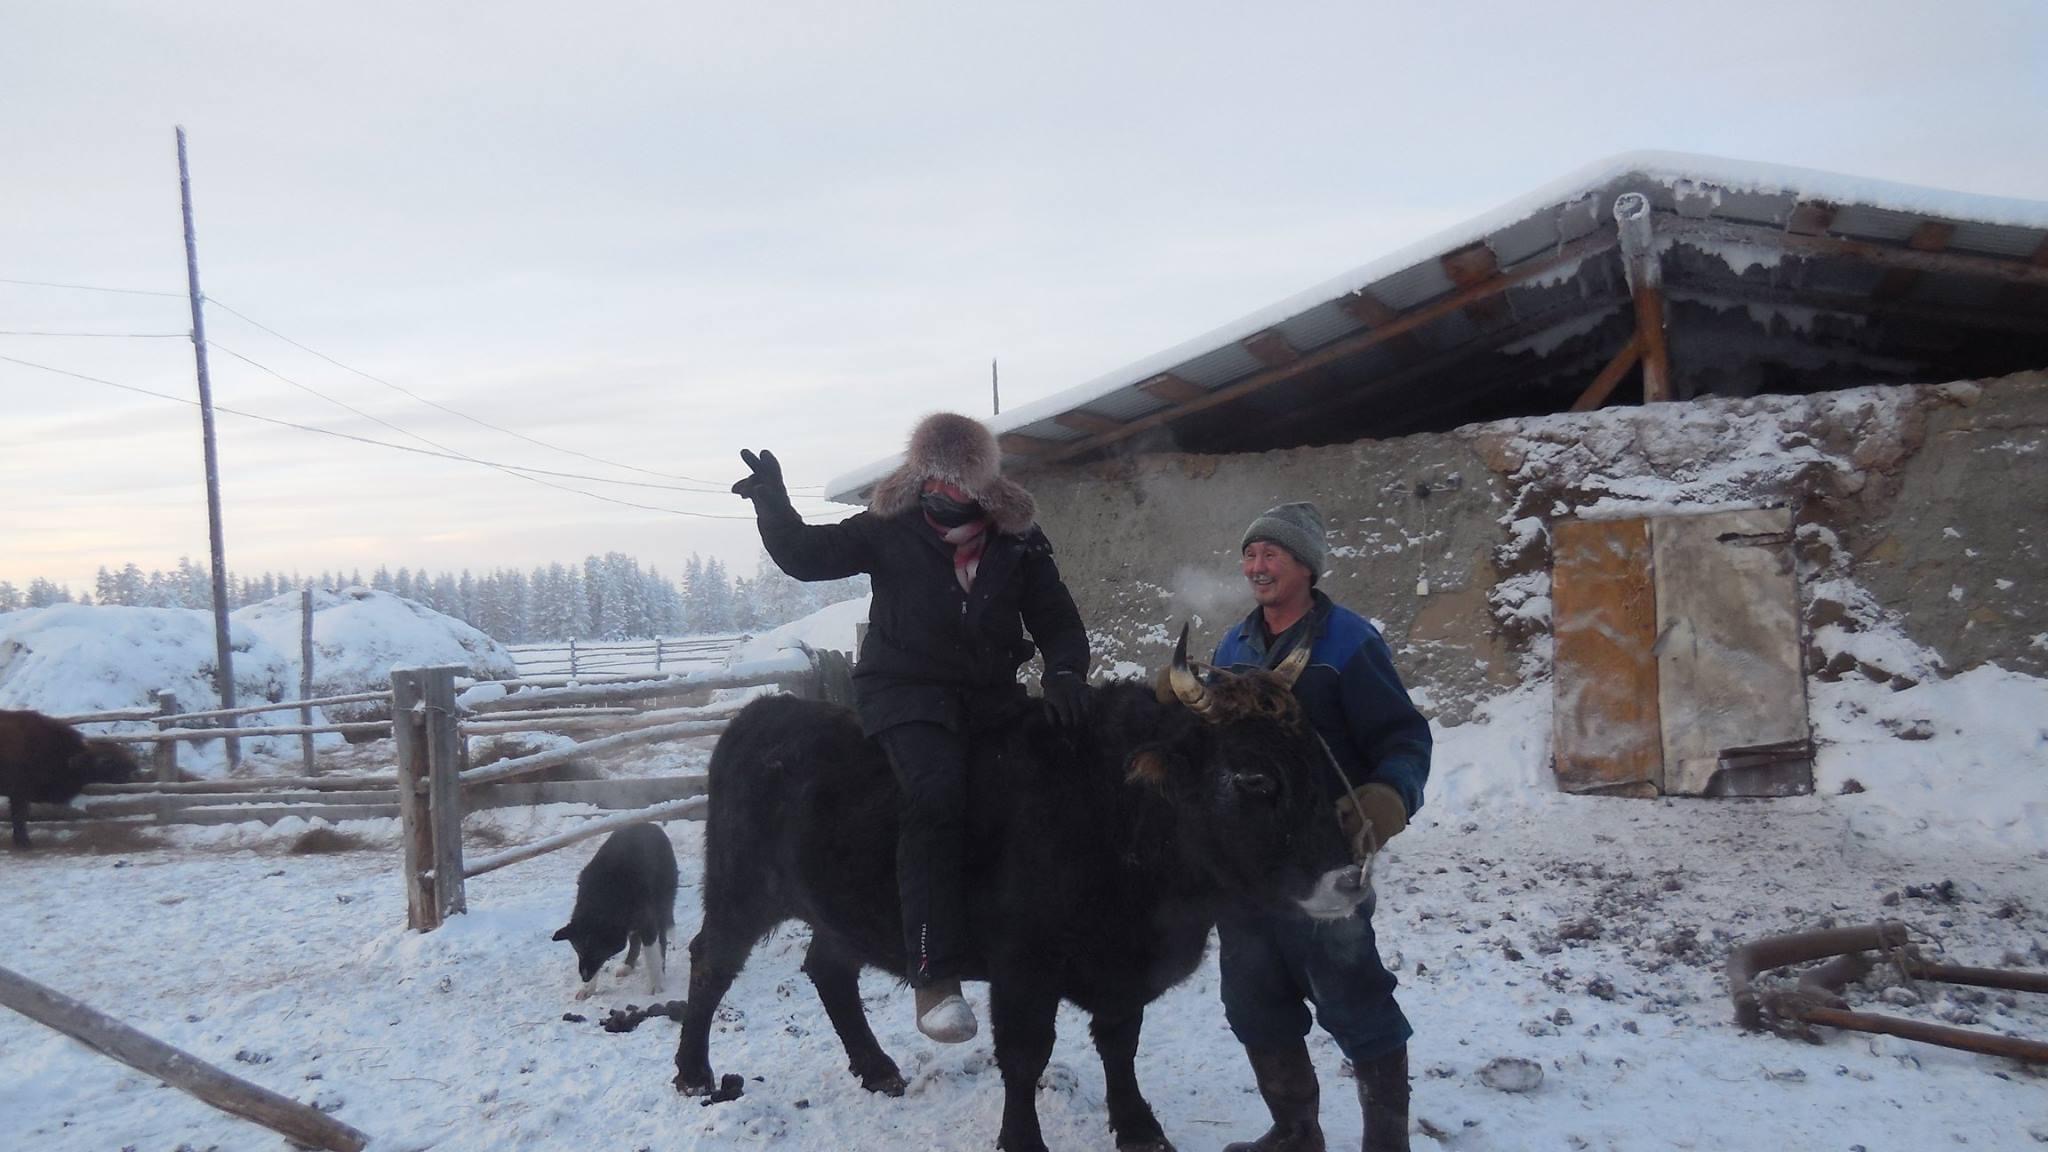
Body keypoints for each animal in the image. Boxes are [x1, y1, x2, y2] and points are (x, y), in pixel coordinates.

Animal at [552, 819, 679, 992]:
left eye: (598, 953)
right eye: (578, 951)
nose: (585, 978)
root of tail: (650, 824)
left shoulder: (647, 923)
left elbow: (653, 956)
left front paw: (656, 986)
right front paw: (588, 989)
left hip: (661, 905)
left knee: (662, 940)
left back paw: (661, 968)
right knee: (636, 940)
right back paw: (628, 966)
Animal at [675, 647, 1376, 1147]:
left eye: (1319, 763)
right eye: (1253, 776)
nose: (1349, 880)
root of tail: (761, 714)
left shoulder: (1122, 973)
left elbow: (1120, 1045)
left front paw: (1139, 1127)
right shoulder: (1023, 971)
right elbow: (1024, 1055)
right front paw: (1023, 1140)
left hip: (839, 913)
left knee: (828, 970)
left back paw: (876, 1068)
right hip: (740, 892)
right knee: (710, 961)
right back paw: (693, 1072)